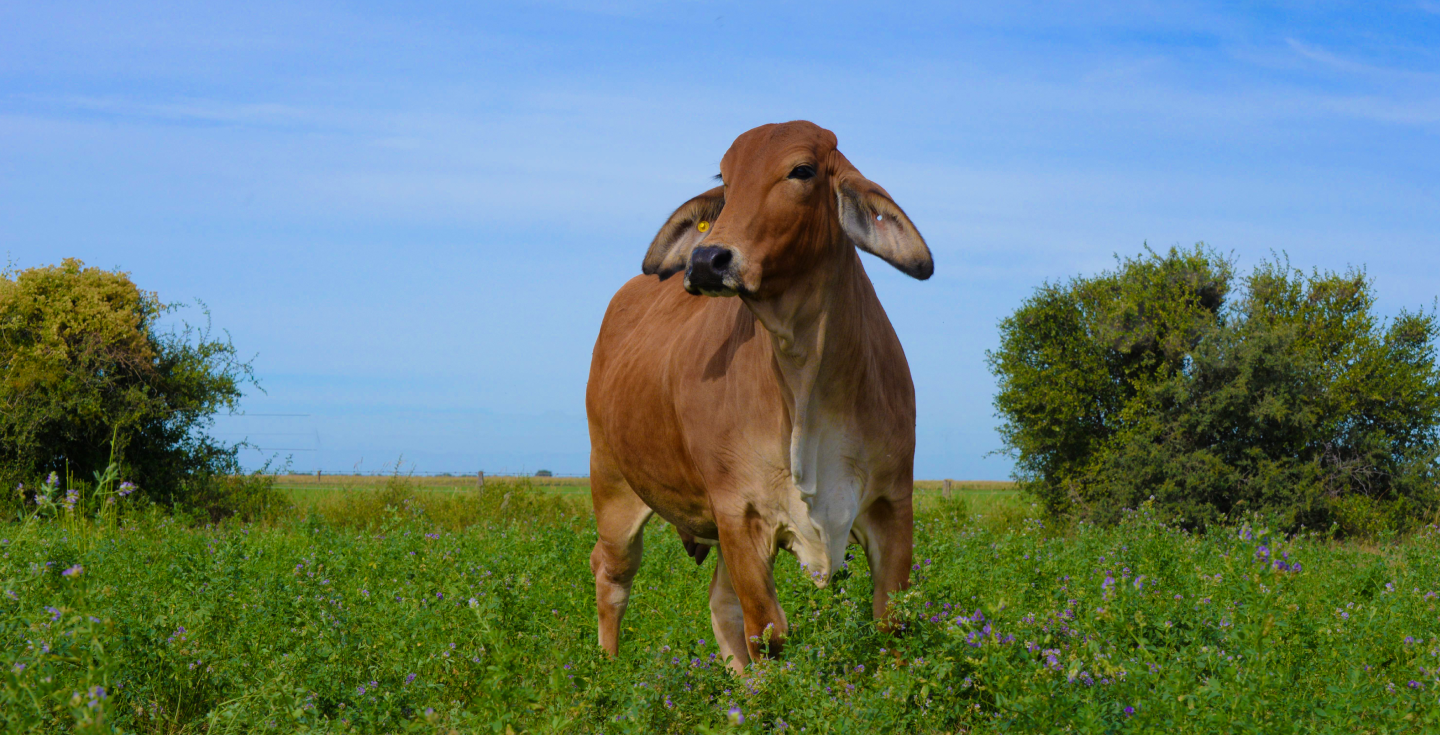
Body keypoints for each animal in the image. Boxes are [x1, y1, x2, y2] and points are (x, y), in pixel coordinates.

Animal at [584, 118, 933, 671]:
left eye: (802, 171)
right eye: (725, 181)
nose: (706, 260)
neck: (805, 377)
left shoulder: (893, 502)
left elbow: (892, 627)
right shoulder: (739, 511)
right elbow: (768, 634)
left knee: (719, 605)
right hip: (613, 484)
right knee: (613, 576)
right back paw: (609, 670)